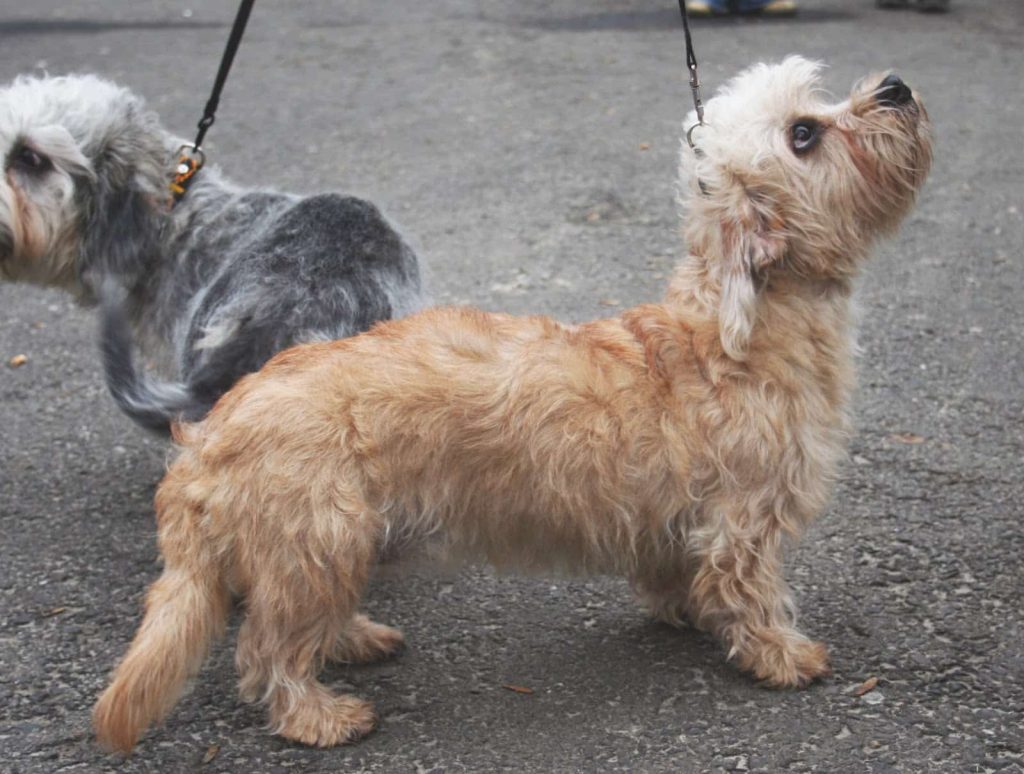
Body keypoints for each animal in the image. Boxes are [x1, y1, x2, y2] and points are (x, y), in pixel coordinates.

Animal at [92, 58, 933, 749]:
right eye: (804, 134)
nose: (896, 86)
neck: (738, 333)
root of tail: (205, 441)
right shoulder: (746, 521)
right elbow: (753, 593)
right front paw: (781, 654)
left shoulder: (682, 518)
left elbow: (678, 571)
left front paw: (688, 609)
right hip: (319, 540)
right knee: (265, 651)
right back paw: (318, 715)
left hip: (327, 548)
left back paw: (355, 637)